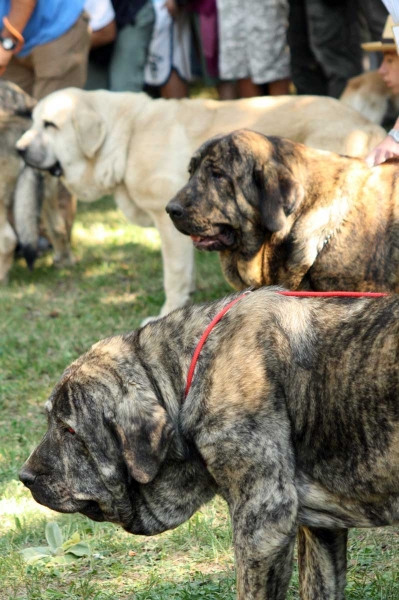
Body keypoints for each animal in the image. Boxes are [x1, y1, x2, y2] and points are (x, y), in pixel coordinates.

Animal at [19, 288, 399, 596]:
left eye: (69, 430)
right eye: (50, 420)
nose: (24, 478)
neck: (192, 373)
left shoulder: (264, 521)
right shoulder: (322, 530)